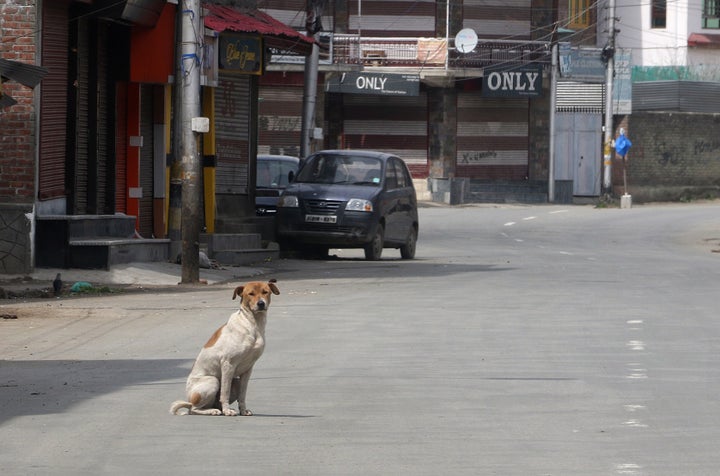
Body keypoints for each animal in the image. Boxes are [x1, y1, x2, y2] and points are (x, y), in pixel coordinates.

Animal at [170, 278, 280, 416]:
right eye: (251, 294)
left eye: (265, 292)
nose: (261, 303)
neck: (252, 324)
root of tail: (189, 399)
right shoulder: (228, 364)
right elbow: (225, 392)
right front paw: (227, 411)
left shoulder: (248, 369)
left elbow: (242, 394)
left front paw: (243, 410)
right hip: (212, 381)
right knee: (194, 409)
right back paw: (213, 411)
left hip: (235, 382)